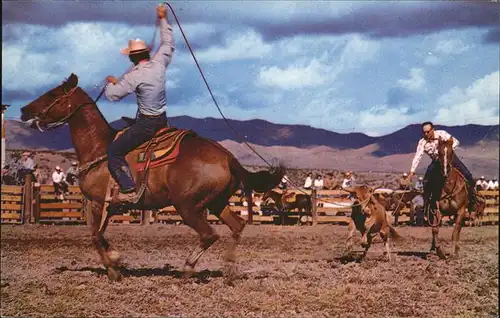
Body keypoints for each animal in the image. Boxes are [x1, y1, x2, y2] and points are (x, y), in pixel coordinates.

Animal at [19, 73, 286, 280]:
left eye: (53, 94)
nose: (23, 110)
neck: (99, 148)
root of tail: (228, 157)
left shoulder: (98, 203)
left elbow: (95, 236)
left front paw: (113, 270)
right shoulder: (108, 206)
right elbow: (101, 236)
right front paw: (116, 259)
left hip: (187, 206)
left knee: (209, 234)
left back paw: (187, 270)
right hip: (217, 203)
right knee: (237, 226)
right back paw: (229, 270)